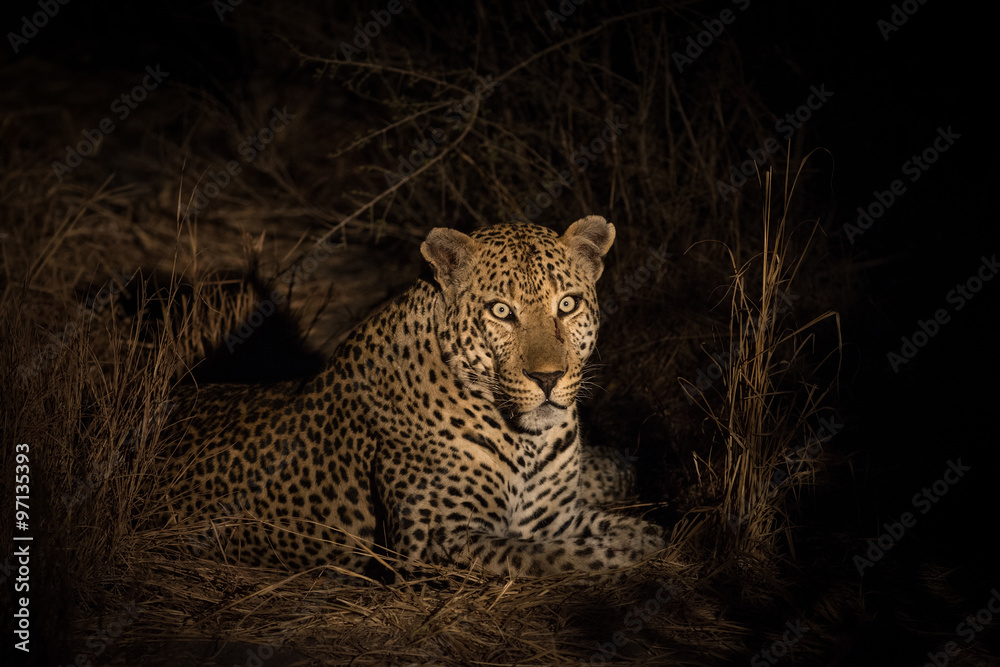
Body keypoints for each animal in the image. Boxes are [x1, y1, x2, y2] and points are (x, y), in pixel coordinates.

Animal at [157, 216, 664, 578]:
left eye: (567, 304)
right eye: (501, 311)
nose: (548, 378)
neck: (526, 439)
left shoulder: (552, 517)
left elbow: (600, 528)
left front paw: (645, 535)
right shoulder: (436, 544)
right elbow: (551, 556)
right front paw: (635, 551)